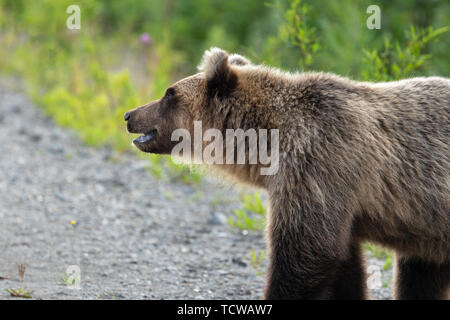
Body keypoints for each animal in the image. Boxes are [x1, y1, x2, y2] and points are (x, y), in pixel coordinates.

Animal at [124, 48, 450, 300]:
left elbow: (307, 249)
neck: (267, 144)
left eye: (169, 94)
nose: (129, 115)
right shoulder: (340, 199)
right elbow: (343, 262)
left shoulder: (318, 166)